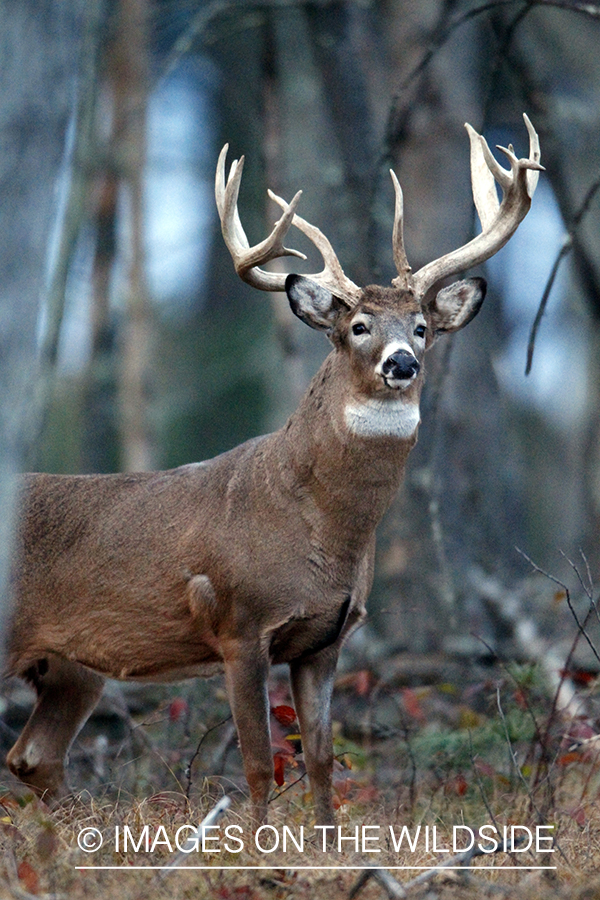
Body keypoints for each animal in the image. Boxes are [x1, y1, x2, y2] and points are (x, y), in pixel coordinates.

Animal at [1, 116, 544, 828]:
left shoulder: (326, 639)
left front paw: (326, 843)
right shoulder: (238, 624)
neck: (318, 530)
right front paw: (258, 845)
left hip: (70, 667)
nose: (401, 363)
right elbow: (259, 764)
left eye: (423, 326)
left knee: (33, 757)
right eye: (358, 325)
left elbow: (321, 761)